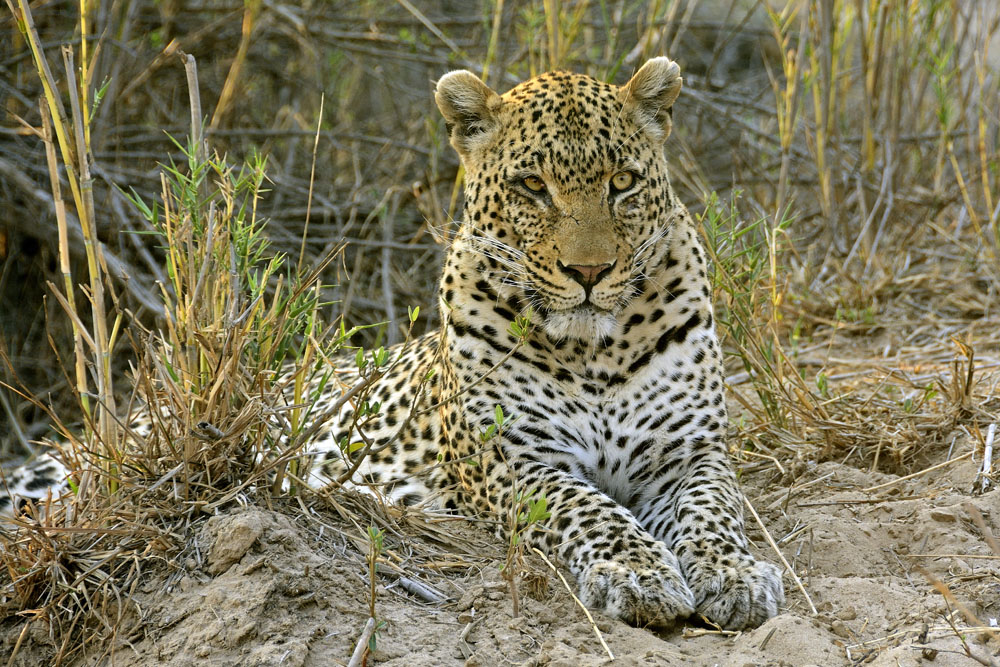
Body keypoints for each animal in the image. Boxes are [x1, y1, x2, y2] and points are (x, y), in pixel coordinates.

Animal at [2, 57, 784, 630]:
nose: (590, 272)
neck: (596, 352)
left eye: (623, 183)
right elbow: (591, 510)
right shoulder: (511, 460)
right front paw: (640, 572)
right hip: (78, 469)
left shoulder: (691, 451)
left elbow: (715, 512)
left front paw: (737, 575)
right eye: (533, 186)